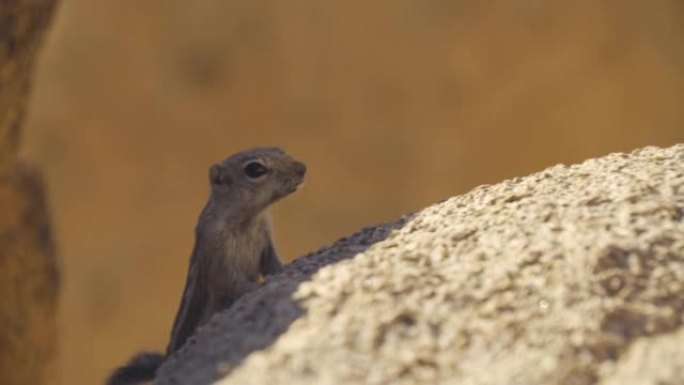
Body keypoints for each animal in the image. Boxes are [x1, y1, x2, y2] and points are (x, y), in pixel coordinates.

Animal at [106, 147, 304, 384]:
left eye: (280, 150)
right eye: (255, 169)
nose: (302, 168)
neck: (248, 218)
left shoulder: (266, 239)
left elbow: (271, 263)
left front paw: (284, 271)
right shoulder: (217, 249)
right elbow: (229, 281)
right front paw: (259, 286)